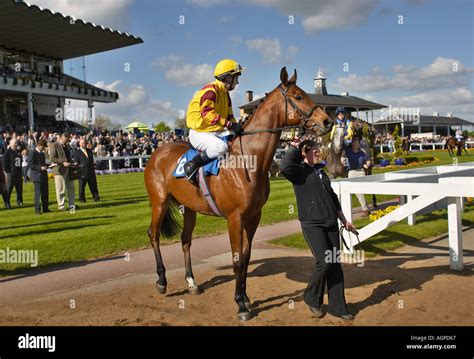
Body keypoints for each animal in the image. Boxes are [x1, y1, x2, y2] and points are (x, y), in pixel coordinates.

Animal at [144, 67, 334, 320]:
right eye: (298, 96)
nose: (327, 121)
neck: (249, 160)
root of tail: (158, 152)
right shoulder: (234, 218)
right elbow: (236, 260)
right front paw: (240, 306)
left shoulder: (253, 217)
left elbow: (245, 257)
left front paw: (245, 298)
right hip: (160, 202)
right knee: (153, 234)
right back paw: (162, 280)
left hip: (190, 209)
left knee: (185, 241)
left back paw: (192, 282)